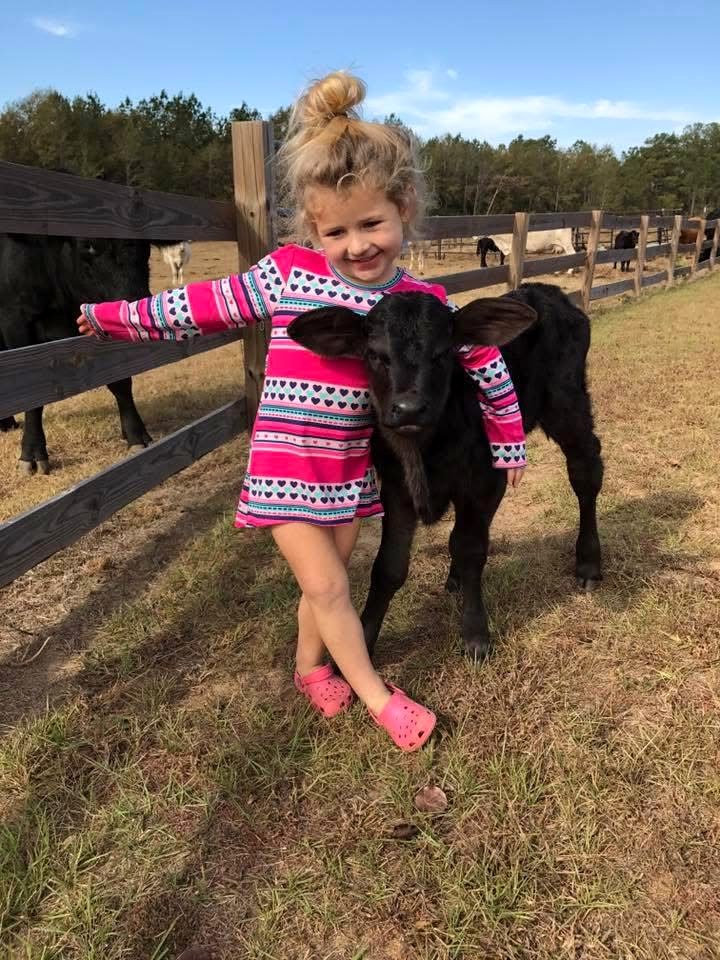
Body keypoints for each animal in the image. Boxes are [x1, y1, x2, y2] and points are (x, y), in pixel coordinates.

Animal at [0, 235, 155, 475]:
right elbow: (33, 395)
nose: (136, 302)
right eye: (88, 245)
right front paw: (32, 453)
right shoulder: (16, 322)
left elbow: (120, 382)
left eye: (144, 243)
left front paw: (136, 435)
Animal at [289, 283, 603, 661]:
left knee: (585, 472)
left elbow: (470, 549)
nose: (409, 408)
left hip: (567, 405)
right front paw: (363, 639)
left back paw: (589, 563)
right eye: (375, 355)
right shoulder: (397, 488)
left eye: (442, 354)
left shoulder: (483, 479)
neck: (424, 454)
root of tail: (545, 290)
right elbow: (389, 566)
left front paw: (475, 634)